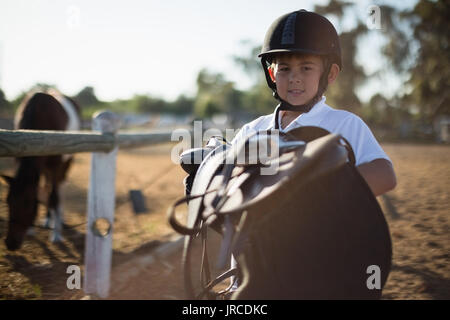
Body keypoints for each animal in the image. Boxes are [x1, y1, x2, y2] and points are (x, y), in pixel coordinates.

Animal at [1, 89, 81, 250]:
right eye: (8, 201)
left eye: (28, 203)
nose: (11, 243)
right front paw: (32, 229)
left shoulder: (56, 164)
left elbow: (54, 197)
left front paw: (56, 235)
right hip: (46, 168)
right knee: (47, 185)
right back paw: (48, 219)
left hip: (67, 162)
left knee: (59, 187)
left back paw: (58, 219)